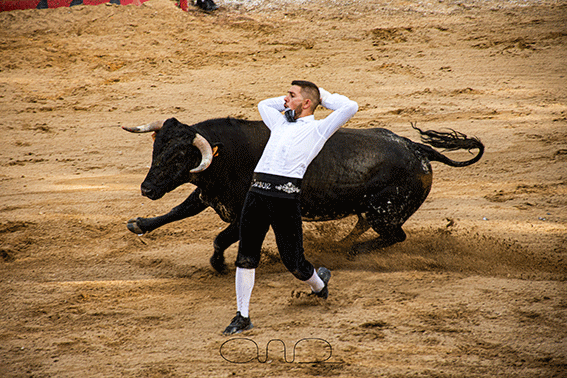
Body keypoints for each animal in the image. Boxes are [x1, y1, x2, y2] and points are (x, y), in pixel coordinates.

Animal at [121, 116, 484, 274]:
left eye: (180, 157)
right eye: (156, 149)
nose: (146, 189)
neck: (228, 154)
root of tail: (417, 149)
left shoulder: (248, 212)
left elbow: (221, 237)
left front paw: (219, 265)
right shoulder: (209, 194)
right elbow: (177, 212)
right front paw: (139, 224)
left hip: (386, 213)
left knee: (394, 236)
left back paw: (349, 252)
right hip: (374, 210)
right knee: (367, 226)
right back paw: (339, 246)